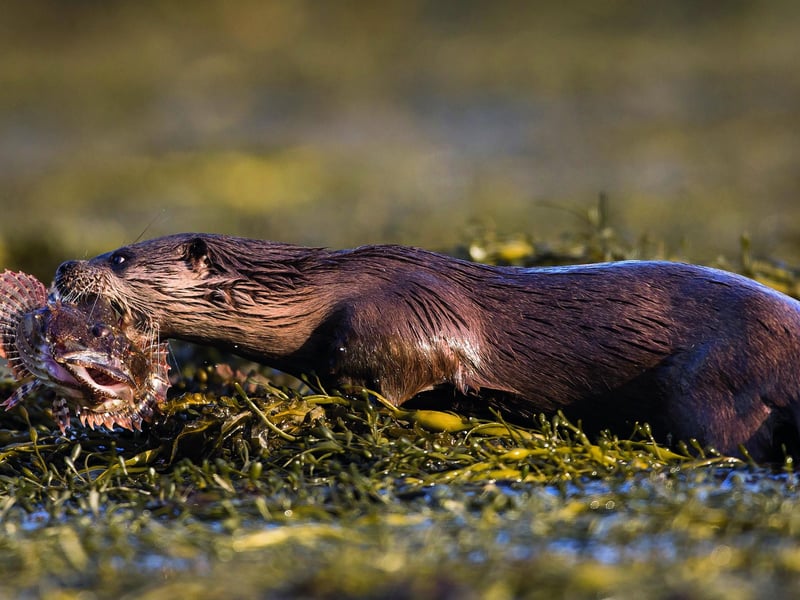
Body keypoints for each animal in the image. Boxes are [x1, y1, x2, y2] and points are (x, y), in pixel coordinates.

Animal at [53, 233, 800, 462]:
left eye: (120, 257)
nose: (64, 267)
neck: (318, 291)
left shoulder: (405, 315)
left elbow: (407, 376)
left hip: (715, 380)